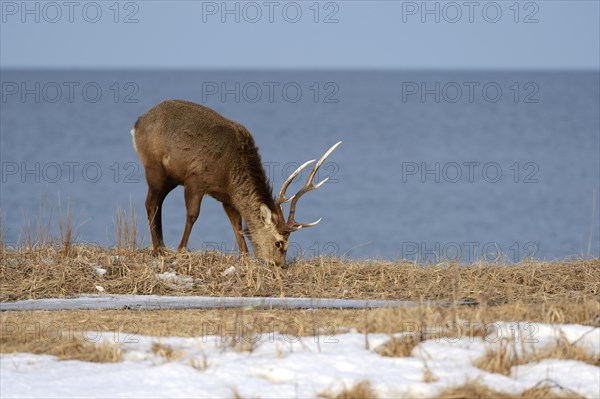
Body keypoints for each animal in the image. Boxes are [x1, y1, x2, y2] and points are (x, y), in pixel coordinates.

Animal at [130, 100, 342, 268]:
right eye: (279, 243)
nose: (280, 265)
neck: (228, 174)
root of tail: (137, 124)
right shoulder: (195, 180)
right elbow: (192, 216)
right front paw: (182, 250)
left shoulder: (227, 197)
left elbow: (236, 223)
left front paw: (245, 255)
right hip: (154, 168)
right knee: (151, 203)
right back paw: (157, 249)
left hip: (171, 178)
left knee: (157, 204)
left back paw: (162, 245)